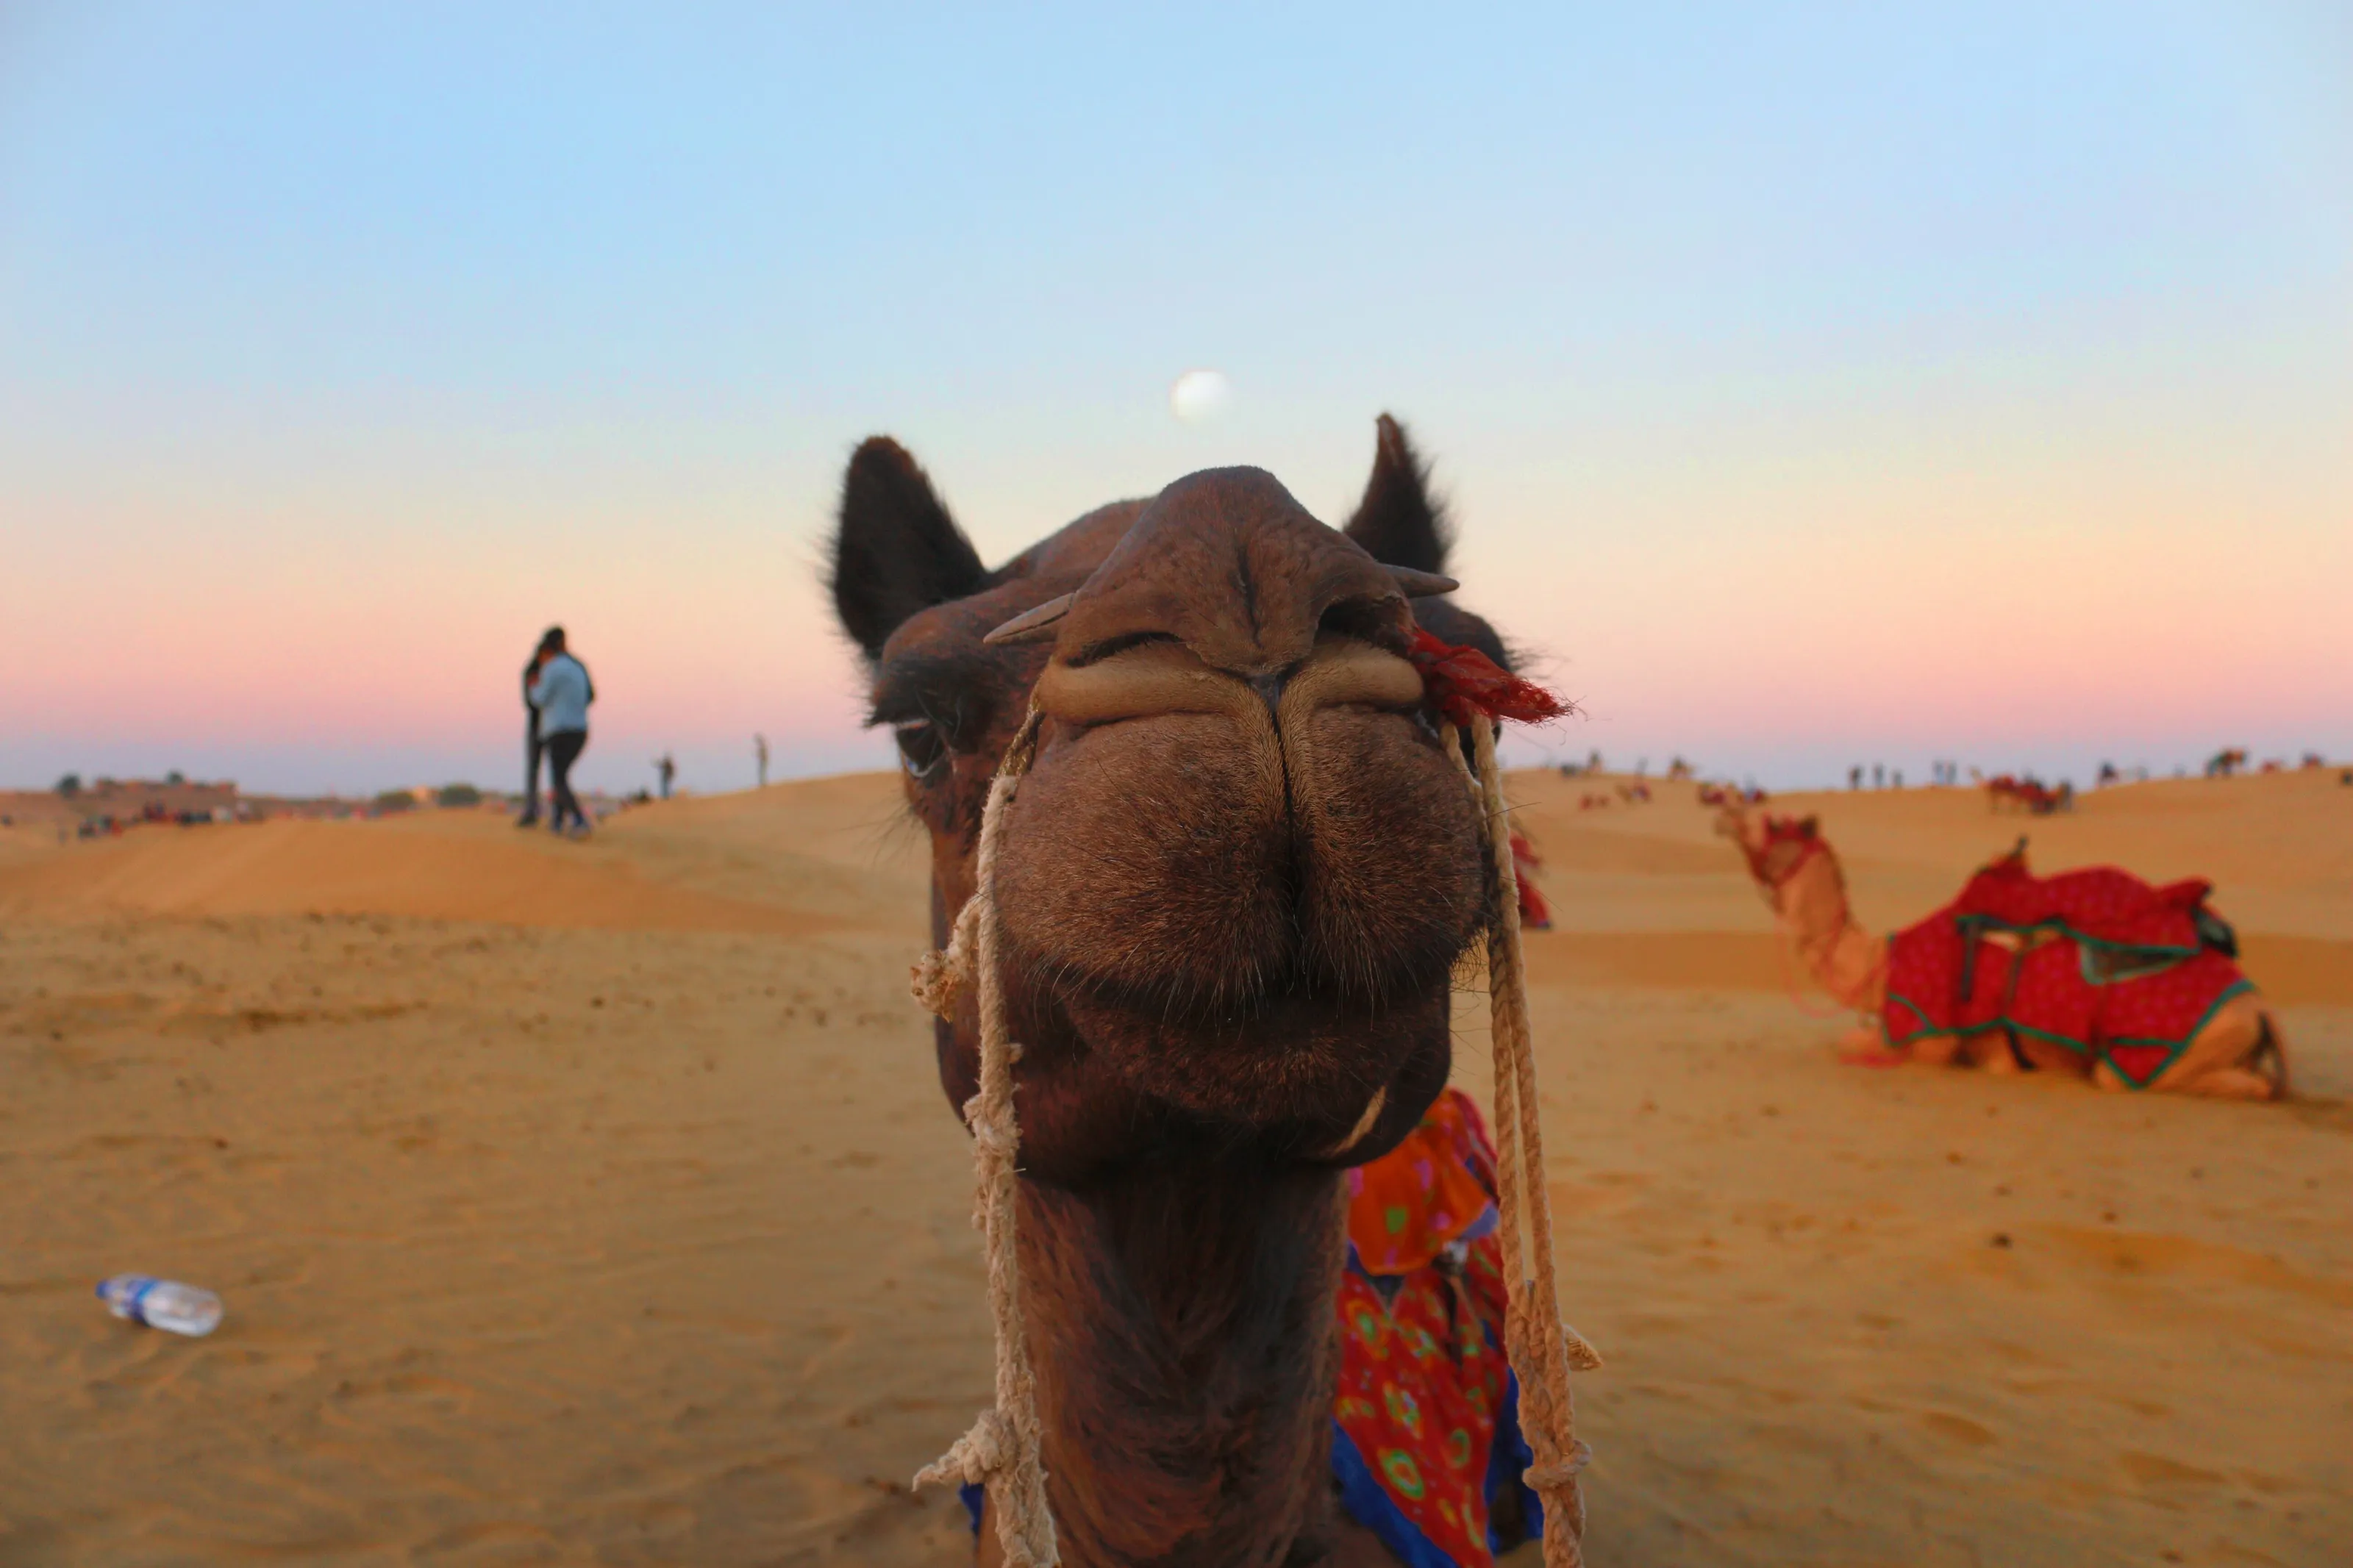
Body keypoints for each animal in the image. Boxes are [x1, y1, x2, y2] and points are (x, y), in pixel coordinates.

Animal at [1717, 805, 2289, 1101]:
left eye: (1773, 821)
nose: (1719, 802)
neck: (1879, 963)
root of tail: (2260, 1007)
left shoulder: (1933, 1039)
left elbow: (1849, 1043)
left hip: (2160, 1050)